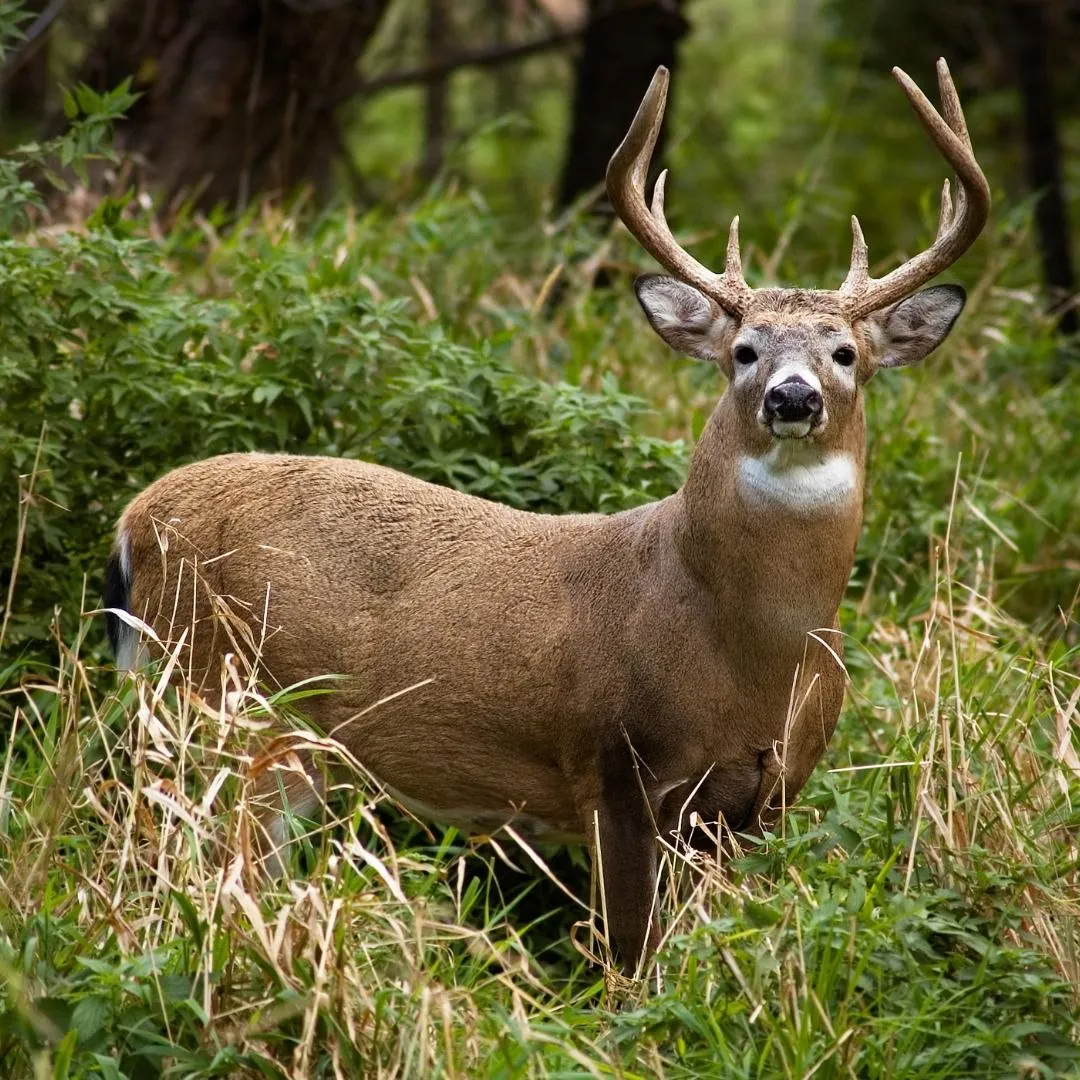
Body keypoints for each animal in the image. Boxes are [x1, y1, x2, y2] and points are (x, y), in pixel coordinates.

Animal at [105, 56, 989, 972]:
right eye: (743, 351)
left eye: (845, 352)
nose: (791, 397)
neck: (753, 651)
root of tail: (135, 520)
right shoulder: (615, 764)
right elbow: (632, 958)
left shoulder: (763, 798)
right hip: (219, 697)